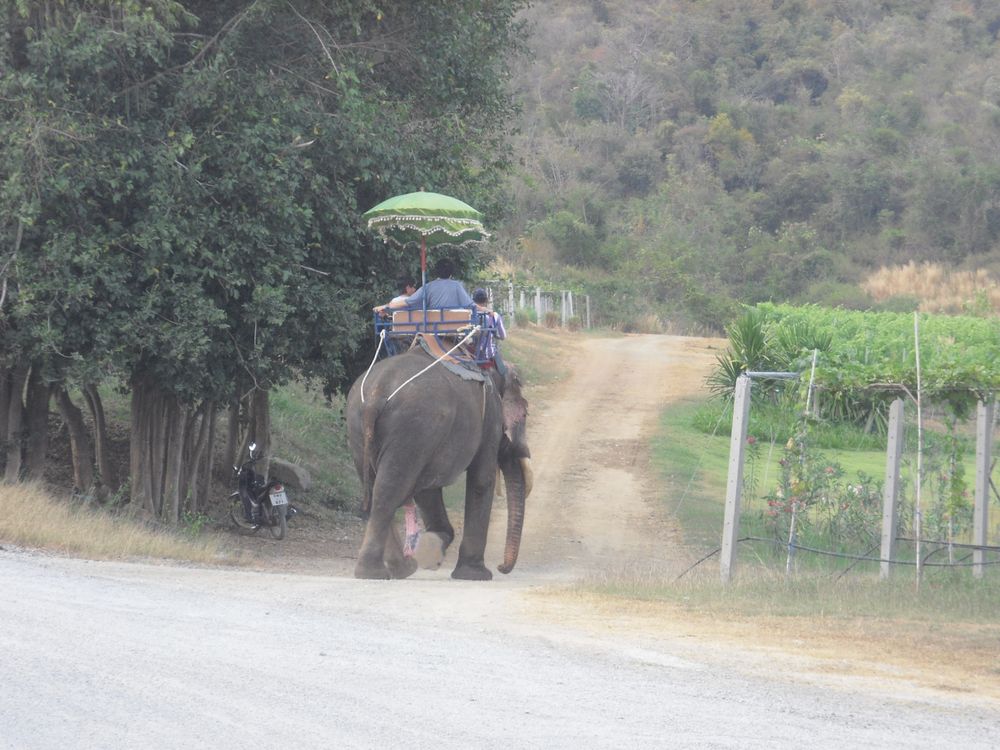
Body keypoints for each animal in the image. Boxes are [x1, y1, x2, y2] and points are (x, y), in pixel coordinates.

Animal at [346, 350, 532, 584]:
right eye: (524, 415)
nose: (501, 567)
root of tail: (376, 394)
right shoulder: (490, 415)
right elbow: (482, 479)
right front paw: (475, 575)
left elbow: (427, 491)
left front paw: (433, 547)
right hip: (413, 426)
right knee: (388, 490)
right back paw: (379, 573)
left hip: (362, 429)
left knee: (374, 488)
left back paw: (397, 570)